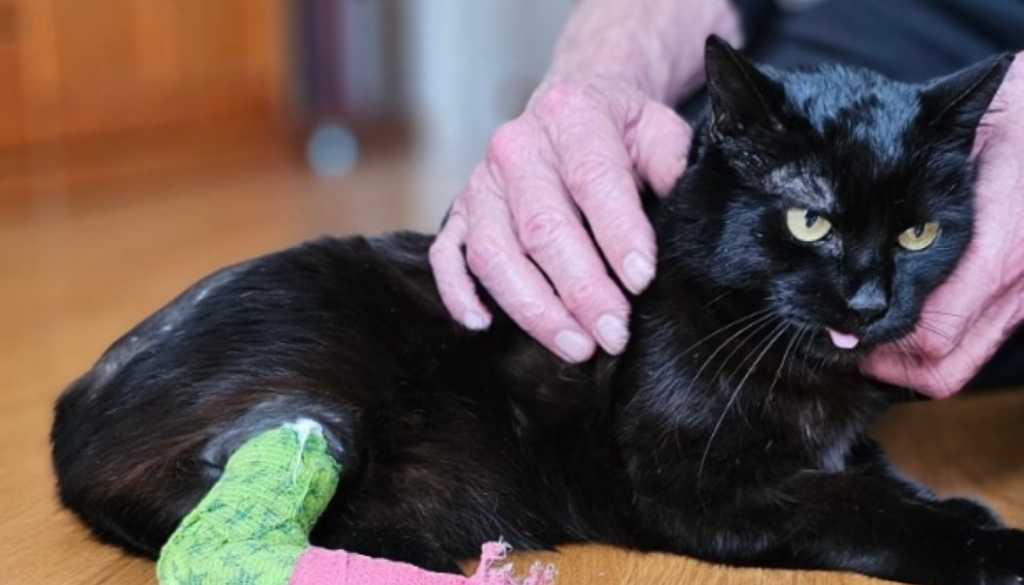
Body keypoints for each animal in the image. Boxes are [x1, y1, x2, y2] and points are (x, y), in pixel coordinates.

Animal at [51, 37, 1023, 585]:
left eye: (917, 232)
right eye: (809, 220)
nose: (868, 299)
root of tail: (71, 407)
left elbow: (876, 477)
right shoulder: (687, 481)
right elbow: (842, 504)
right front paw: (984, 543)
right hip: (319, 380)